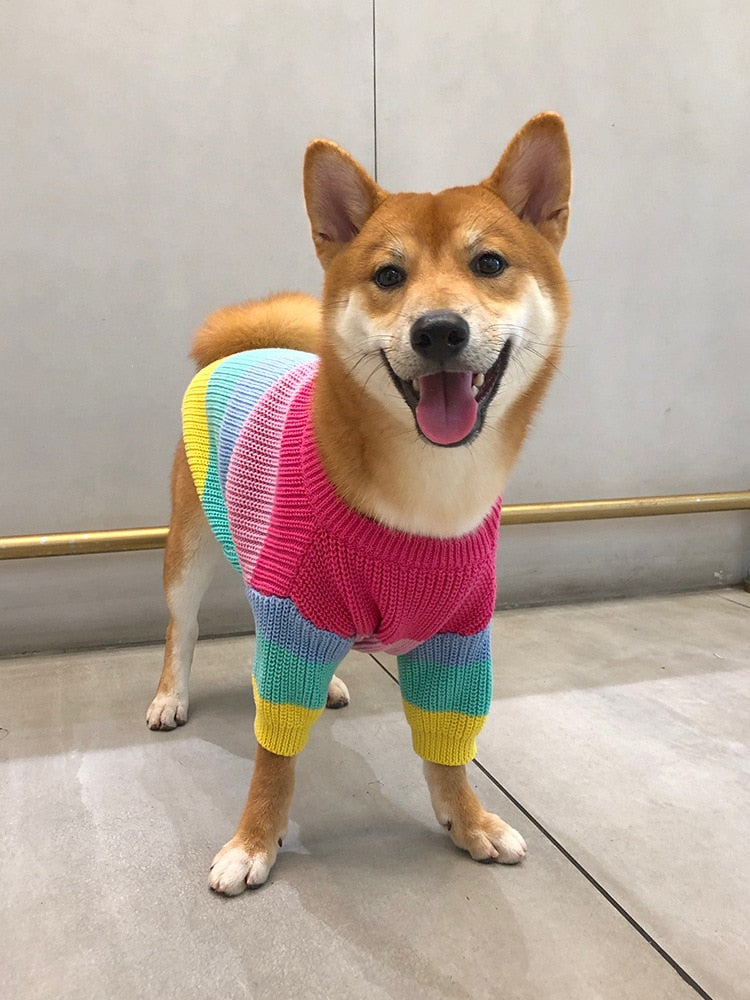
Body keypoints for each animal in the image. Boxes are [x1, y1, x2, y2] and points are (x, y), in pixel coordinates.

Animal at [145, 113, 568, 896]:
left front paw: (468, 820)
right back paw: (170, 696)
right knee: (181, 631)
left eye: (490, 263)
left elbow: (447, 748)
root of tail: (249, 344)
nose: (440, 329)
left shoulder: (458, 636)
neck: (428, 493)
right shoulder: (291, 619)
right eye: (388, 276)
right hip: (189, 552)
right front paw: (255, 839)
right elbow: (275, 755)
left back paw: (335, 682)